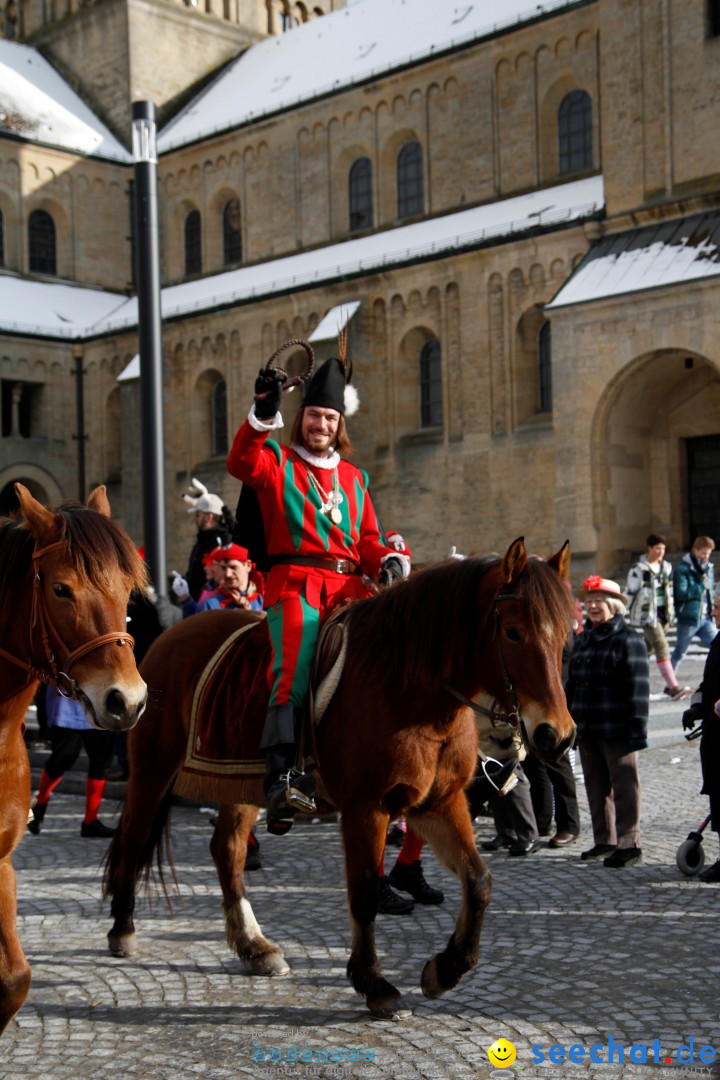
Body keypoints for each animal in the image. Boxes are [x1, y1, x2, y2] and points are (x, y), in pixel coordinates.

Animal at [104, 537, 574, 1019]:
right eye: (513, 631)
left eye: (567, 634)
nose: (556, 735)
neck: (411, 686)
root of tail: (167, 636)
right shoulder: (367, 808)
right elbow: (365, 893)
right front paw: (375, 983)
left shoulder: (439, 803)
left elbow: (479, 881)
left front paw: (446, 969)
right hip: (153, 769)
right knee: (135, 835)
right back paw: (123, 928)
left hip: (241, 783)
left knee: (228, 851)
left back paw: (254, 946)